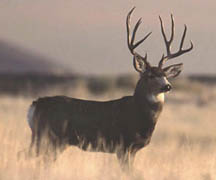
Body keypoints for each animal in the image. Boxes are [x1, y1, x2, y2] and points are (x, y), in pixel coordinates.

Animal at [26, 7, 193, 170]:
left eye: (165, 75)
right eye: (150, 75)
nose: (167, 86)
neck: (138, 115)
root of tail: (35, 105)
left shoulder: (131, 150)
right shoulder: (123, 146)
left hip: (51, 141)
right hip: (48, 137)